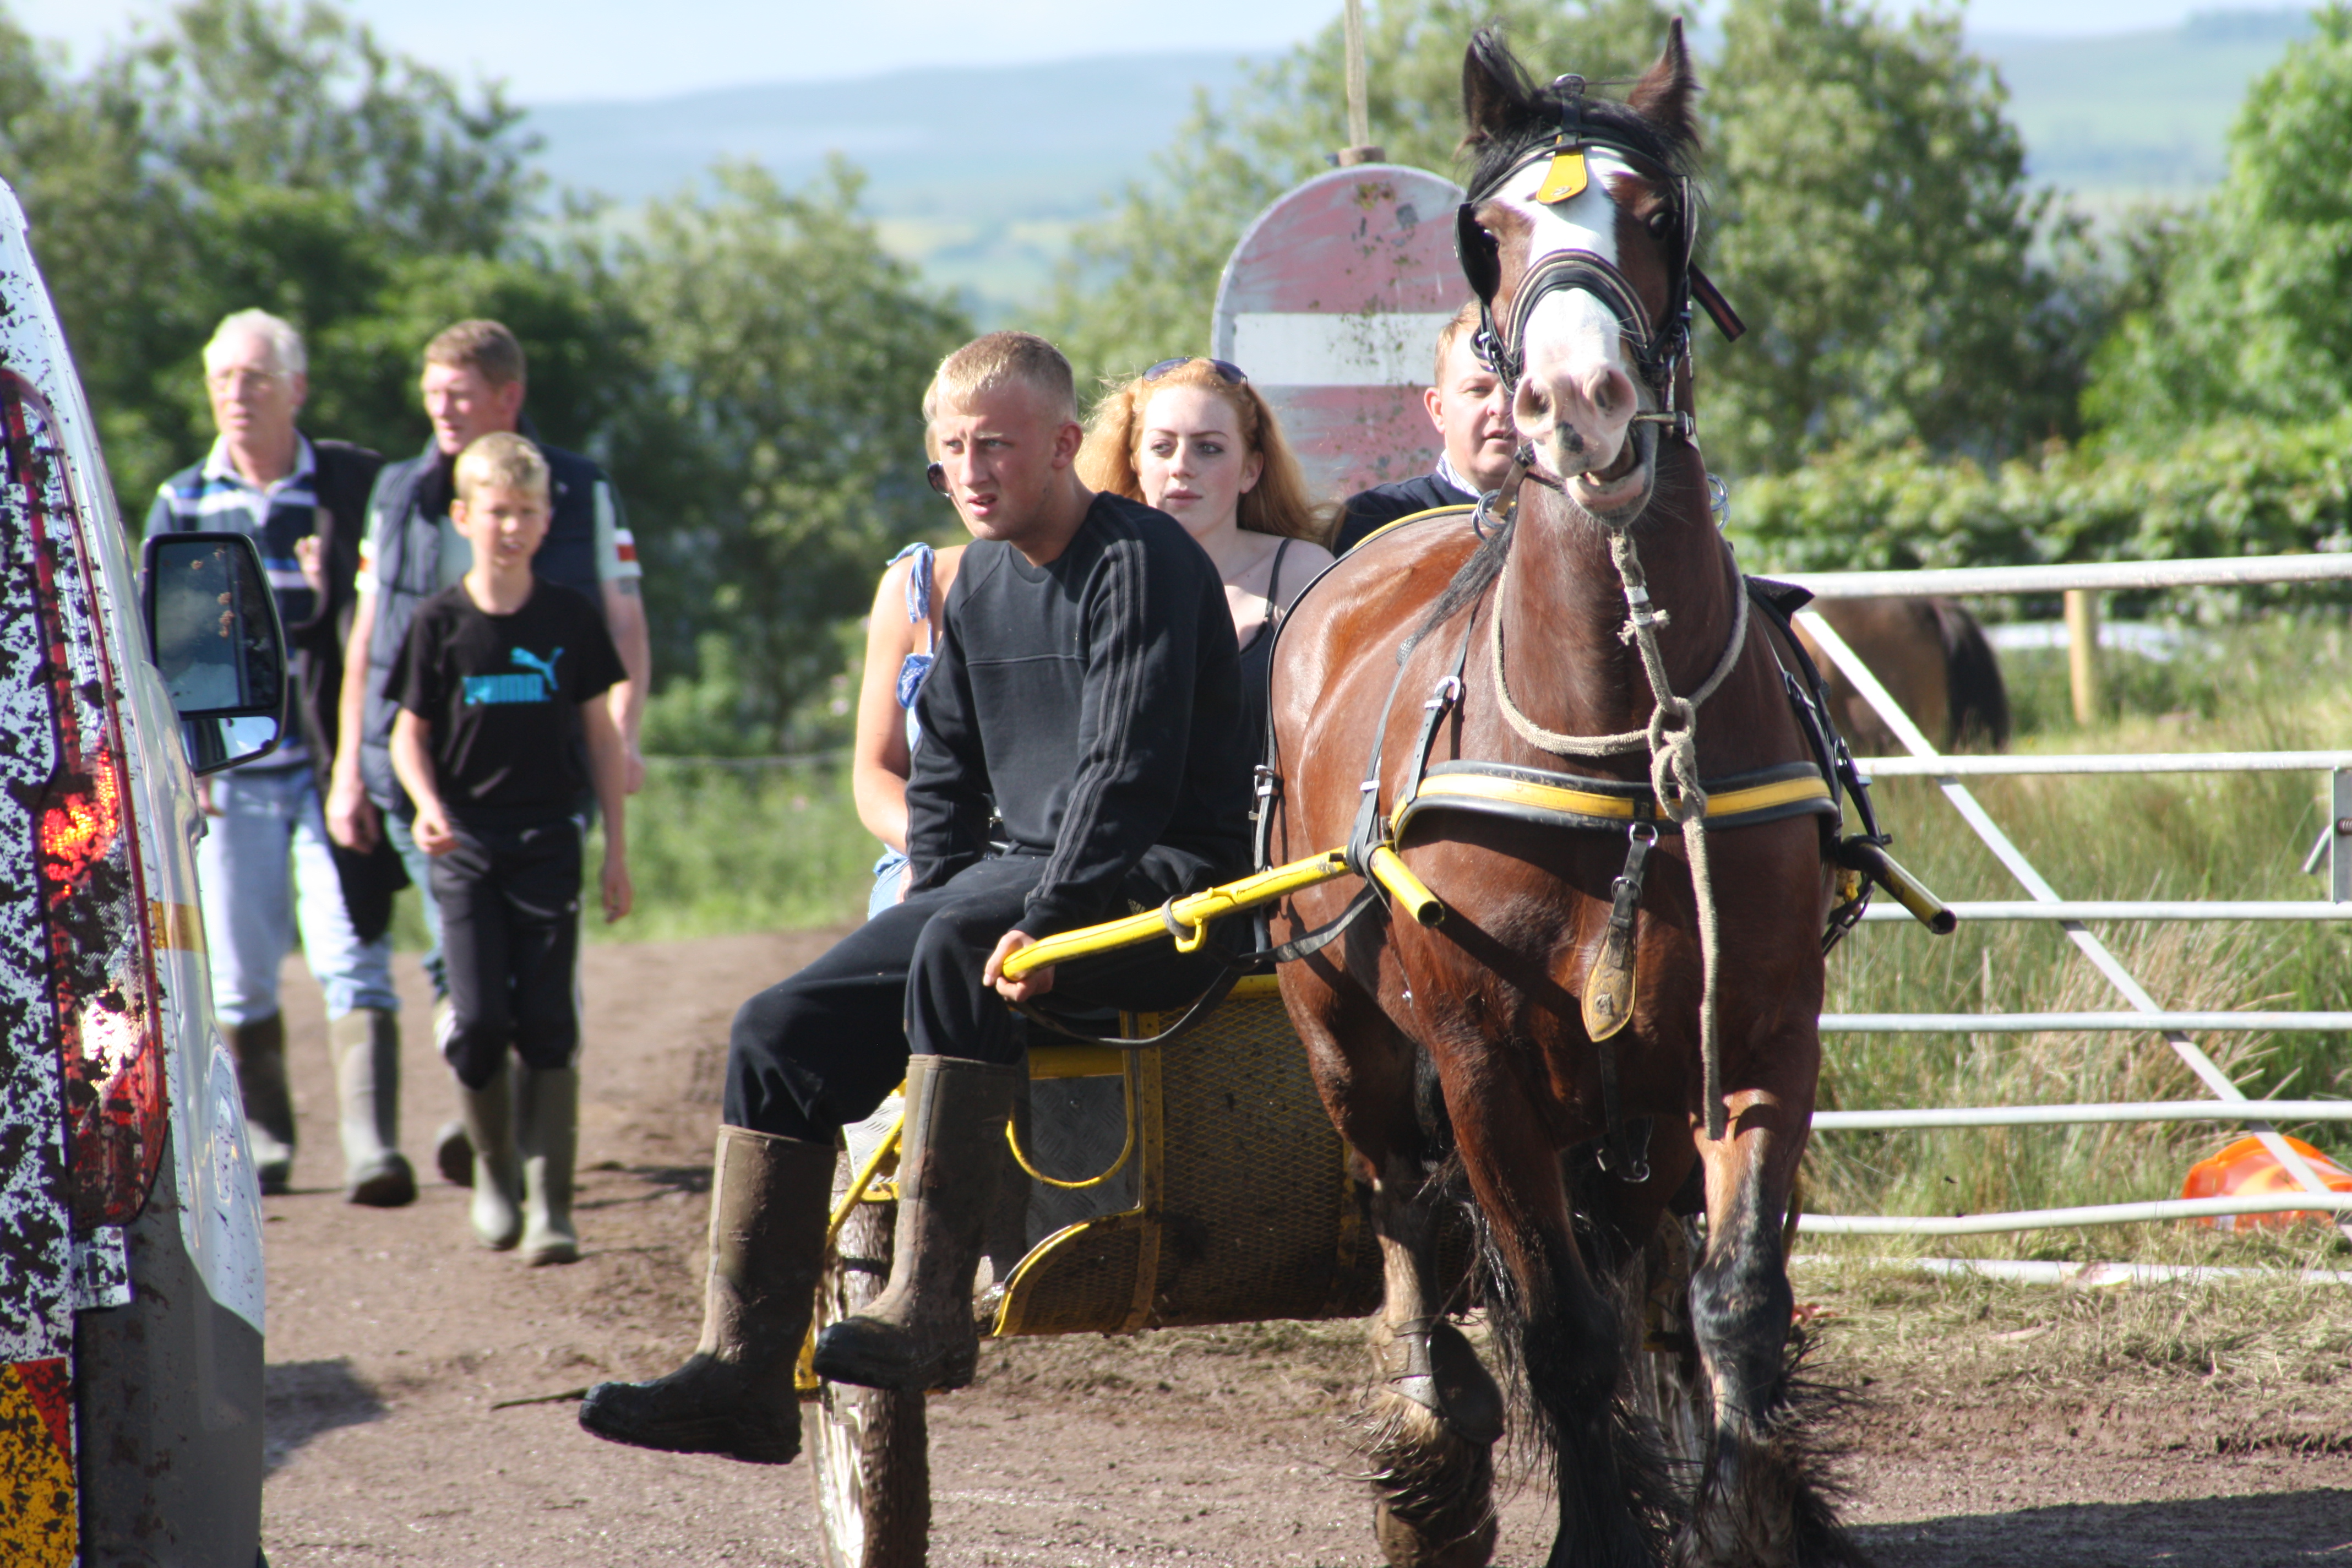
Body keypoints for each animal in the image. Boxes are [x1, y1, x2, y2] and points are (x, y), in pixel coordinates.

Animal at [1265, 25, 1866, 1568]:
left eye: (1654, 217)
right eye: (1485, 233)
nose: (1578, 403)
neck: (1622, 742)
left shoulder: (1756, 1025)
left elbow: (1733, 1301)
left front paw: (1748, 1507)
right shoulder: (1481, 1065)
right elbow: (1558, 1326)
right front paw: (1594, 1522)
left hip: (1638, 1094)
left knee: (1647, 1264)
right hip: (1344, 1038)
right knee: (1408, 1217)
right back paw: (1431, 1430)